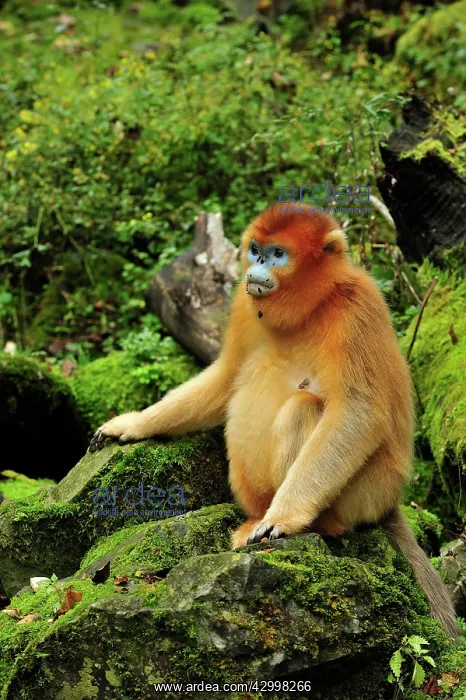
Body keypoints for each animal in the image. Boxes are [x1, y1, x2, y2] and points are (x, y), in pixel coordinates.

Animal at [89, 203, 458, 640]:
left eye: (278, 254)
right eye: (256, 249)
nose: (258, 265)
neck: (311, 305)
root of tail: (390, 501)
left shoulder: (356, 308)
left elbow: (358, 412)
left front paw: (284, 518)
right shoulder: (242, 303)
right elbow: (226, 376)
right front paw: (134, 424)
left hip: (367, 493)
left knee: (304, 408)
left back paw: (315, 526)